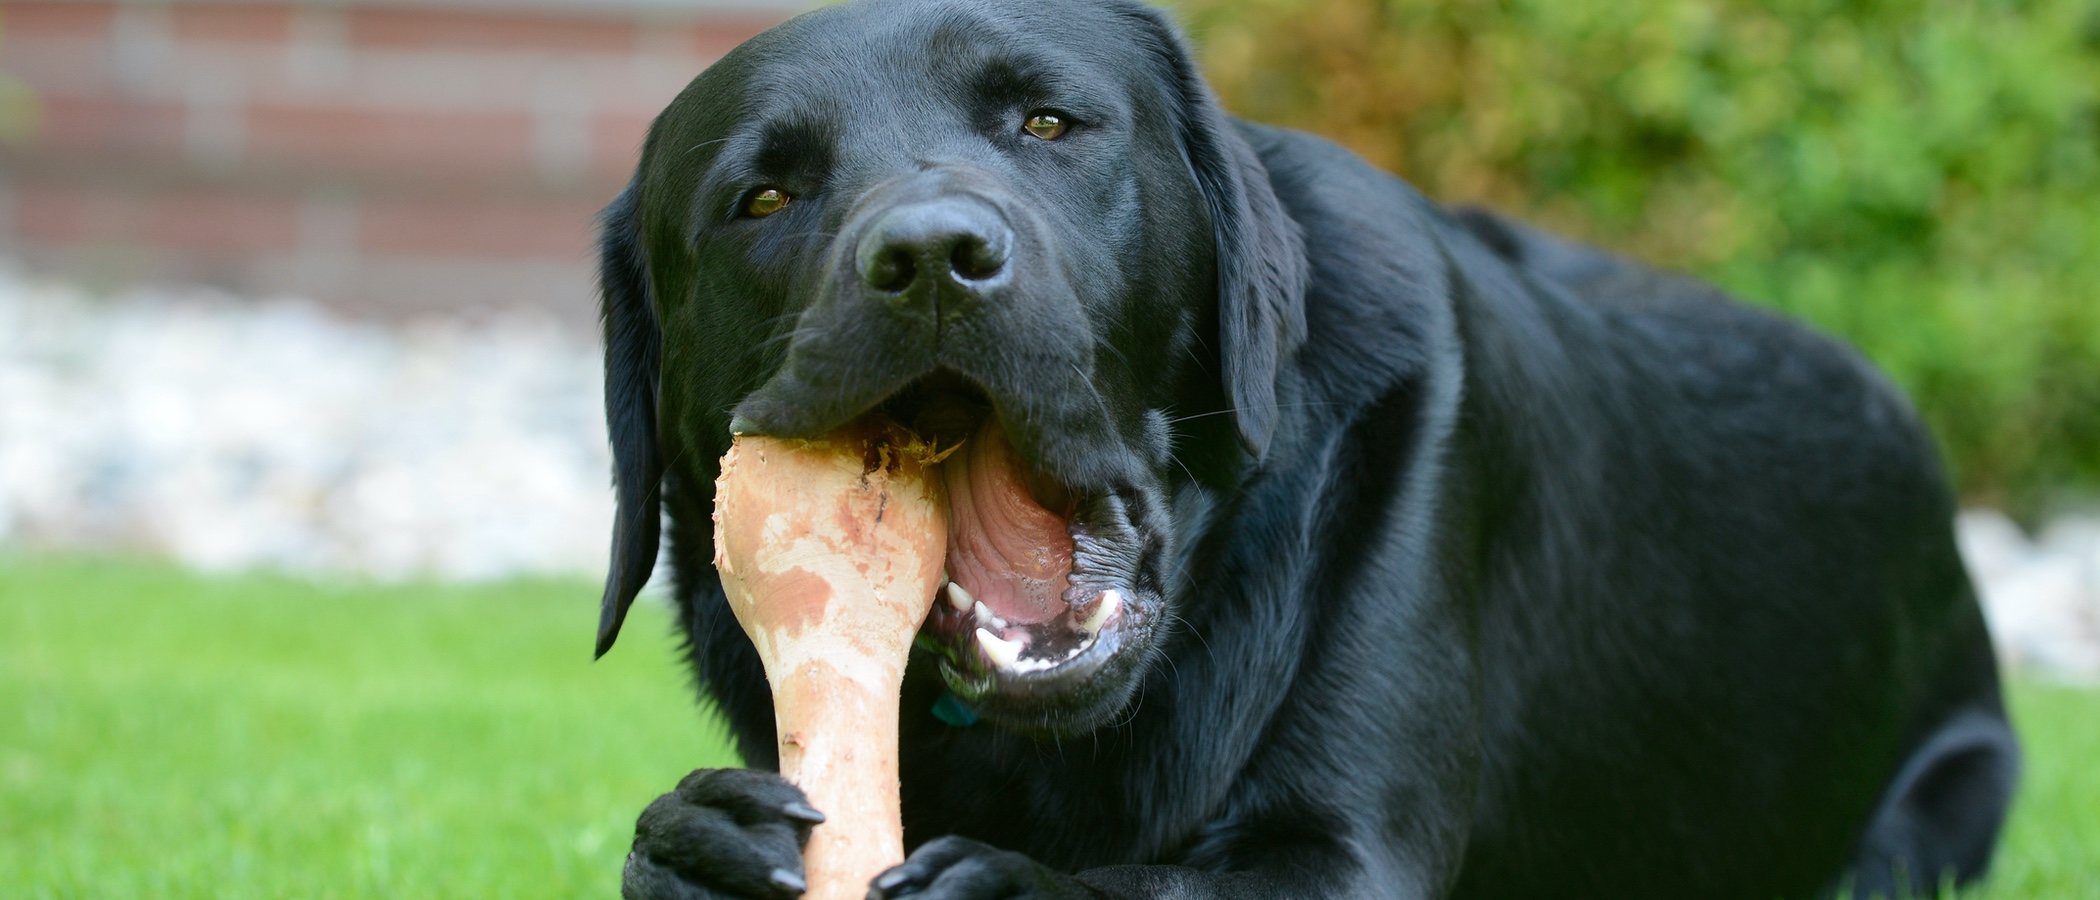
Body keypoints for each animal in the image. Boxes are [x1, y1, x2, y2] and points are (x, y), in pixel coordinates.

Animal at [588, 3, 2015, 893]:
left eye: (1047, 123)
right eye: (763, 197)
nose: (931, 257)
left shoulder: (1345, 852)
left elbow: (1142, 888)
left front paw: (1008, 883)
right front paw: (698, 843)